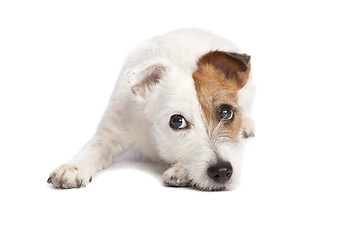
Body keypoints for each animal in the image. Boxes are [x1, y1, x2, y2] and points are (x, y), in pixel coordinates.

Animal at [47, 28, 255, 190]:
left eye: (226, 112)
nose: (222, 171)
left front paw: (182, 169)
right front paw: (74, 167)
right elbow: (94, 148)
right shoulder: (113, 129)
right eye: (177, 121)